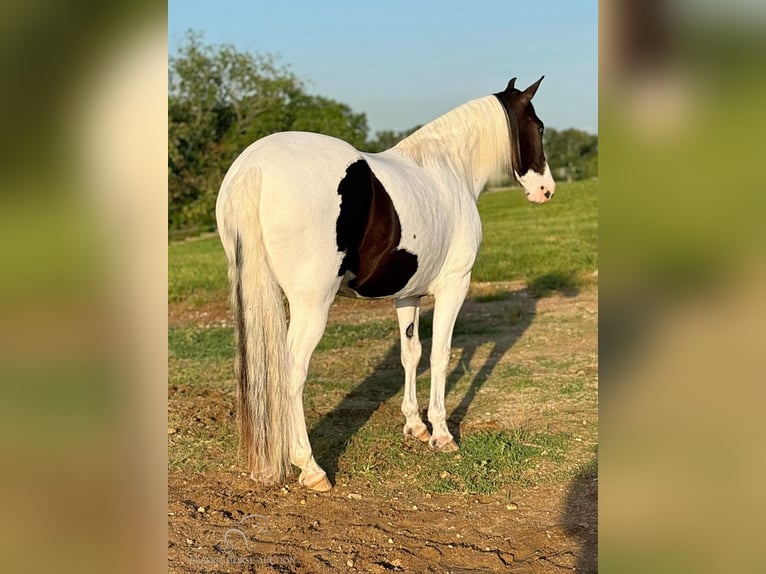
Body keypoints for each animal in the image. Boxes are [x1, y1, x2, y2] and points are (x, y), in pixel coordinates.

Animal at [216, 76, 560, 492]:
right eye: (538, 127)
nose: (546, 190)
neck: (447, 169)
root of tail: (257, 168)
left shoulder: (407, 295)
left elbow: (411, 354)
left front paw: (415, 425)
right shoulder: (455, 286)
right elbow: (440, 355)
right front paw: (441, 433)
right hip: (311, 304)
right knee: (292, 371)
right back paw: (311, 468)